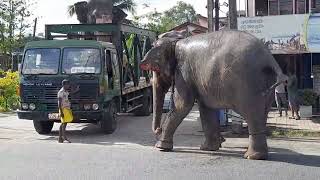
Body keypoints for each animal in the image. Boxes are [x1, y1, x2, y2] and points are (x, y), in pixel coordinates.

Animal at [140, 29, 288, 160]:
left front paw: (160, 147)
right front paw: (208, 148)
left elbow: (183, 105)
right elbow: (206, 108)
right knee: (262, 115)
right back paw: (258, 155)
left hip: (248, 84)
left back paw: (252, 157)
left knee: (252, 115)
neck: (177, 40)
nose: (158, 129)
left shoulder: (183, 71)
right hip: (265, 85)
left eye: (156, 69)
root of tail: (270, 59)